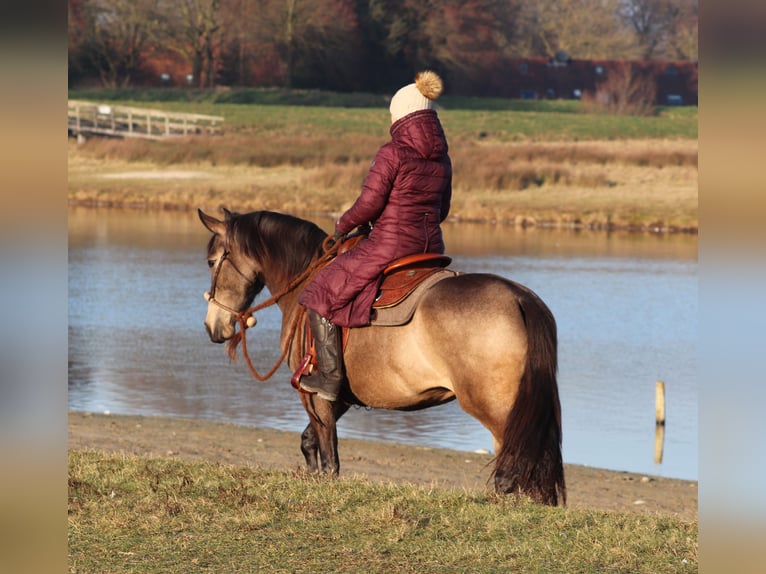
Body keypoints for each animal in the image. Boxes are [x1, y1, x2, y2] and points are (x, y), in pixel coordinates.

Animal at [201, 209, 568, 506]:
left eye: (211, 261)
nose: (212, 326)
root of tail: (521, 299)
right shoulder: (341, 397)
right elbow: (309, 442)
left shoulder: (315, 394)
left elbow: (329, 460)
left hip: (498, 411)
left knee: (510, 470)